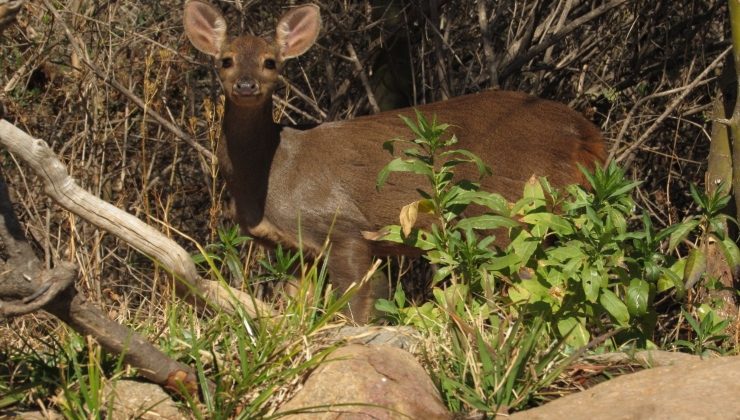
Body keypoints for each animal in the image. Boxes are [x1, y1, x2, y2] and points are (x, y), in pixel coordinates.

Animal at [182, 0, 604, 322]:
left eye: (270, 62)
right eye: (226, 60)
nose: (246, 85)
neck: (270, 175)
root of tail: (586, 134)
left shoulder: (343, 225)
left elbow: (355, 304)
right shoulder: (297, 249)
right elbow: (295, 305)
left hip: (509, 205)